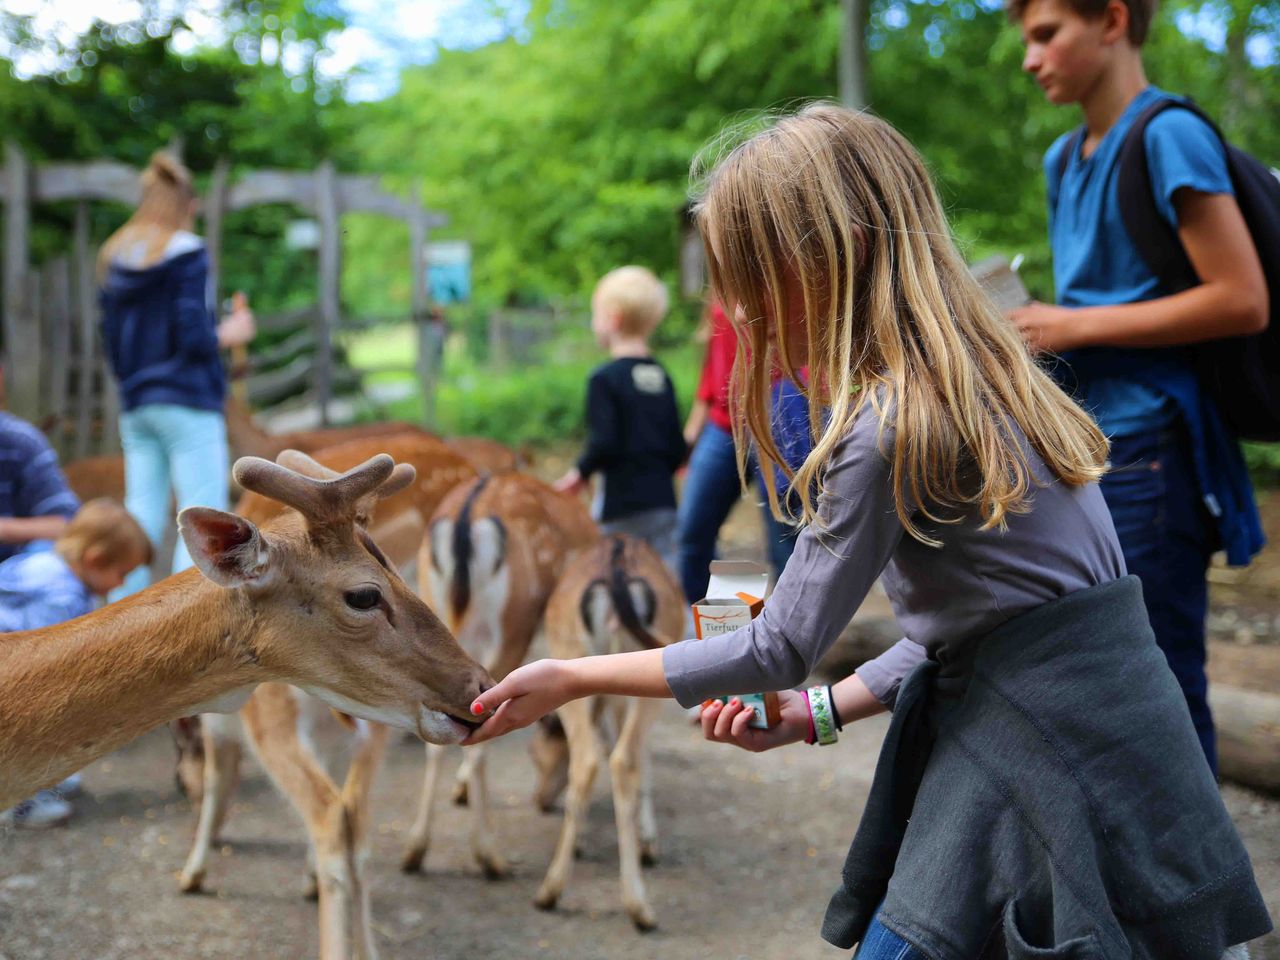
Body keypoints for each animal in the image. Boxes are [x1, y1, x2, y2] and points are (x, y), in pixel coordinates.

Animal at [399, 473, 599, 880]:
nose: (543, 800)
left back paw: (415, 851)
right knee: (481, 729)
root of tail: (465, 522)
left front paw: (459, 789)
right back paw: (490, 857)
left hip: (434, 612)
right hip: (513, 625)